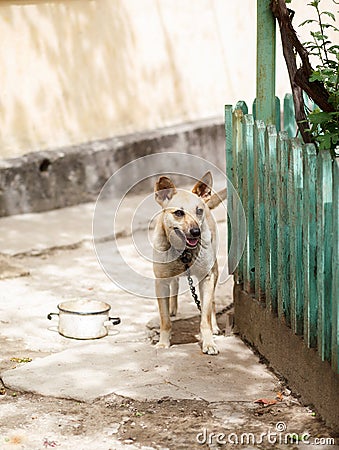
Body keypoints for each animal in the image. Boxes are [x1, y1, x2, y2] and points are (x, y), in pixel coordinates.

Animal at [153, 172, 227, 356]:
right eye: (179, 213)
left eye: (198, 211)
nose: (196, 232)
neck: (184, 251)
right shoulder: (161, 283)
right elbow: (164, 320)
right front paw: (163, 343)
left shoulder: (206, 278)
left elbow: (205, 319)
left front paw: (208, 343)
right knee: (175, 284)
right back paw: (173, 308)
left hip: (213, 270)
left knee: (211, 302)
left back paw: (215, 326)